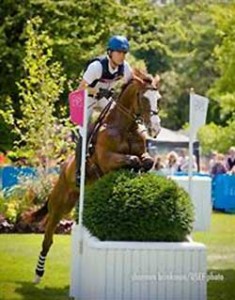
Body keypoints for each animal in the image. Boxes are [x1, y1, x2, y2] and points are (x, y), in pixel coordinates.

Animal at [26, 68, 161, 284]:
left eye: (159, 98)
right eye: (143, 97)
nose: (155, 129)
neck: (125, 126)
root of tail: (63, 170)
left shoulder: (143, 153)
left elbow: (146, 161)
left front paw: (138, 176)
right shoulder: (107, 159)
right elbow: (131, 159)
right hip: (59, 206)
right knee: (48, 239)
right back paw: (38, 274)